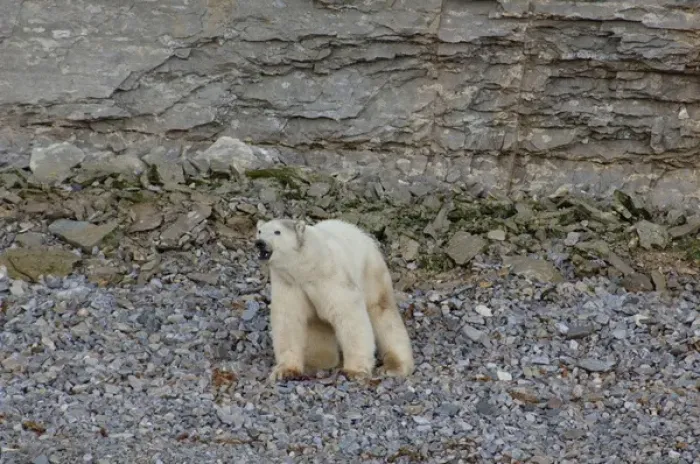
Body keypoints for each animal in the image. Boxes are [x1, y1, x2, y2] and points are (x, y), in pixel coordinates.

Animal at [254, 217, 414, 382]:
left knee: (381, 311)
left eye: (277, 232)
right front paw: (285, 371)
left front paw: (354, 371)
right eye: (260, 231)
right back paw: (318, 361)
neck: (305, 267)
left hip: (370, 272)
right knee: (318, 324)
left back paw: (395, 366)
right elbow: (289, 320)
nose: (260, 243)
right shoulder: (289, 283)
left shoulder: (330, 275)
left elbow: (348, 313)